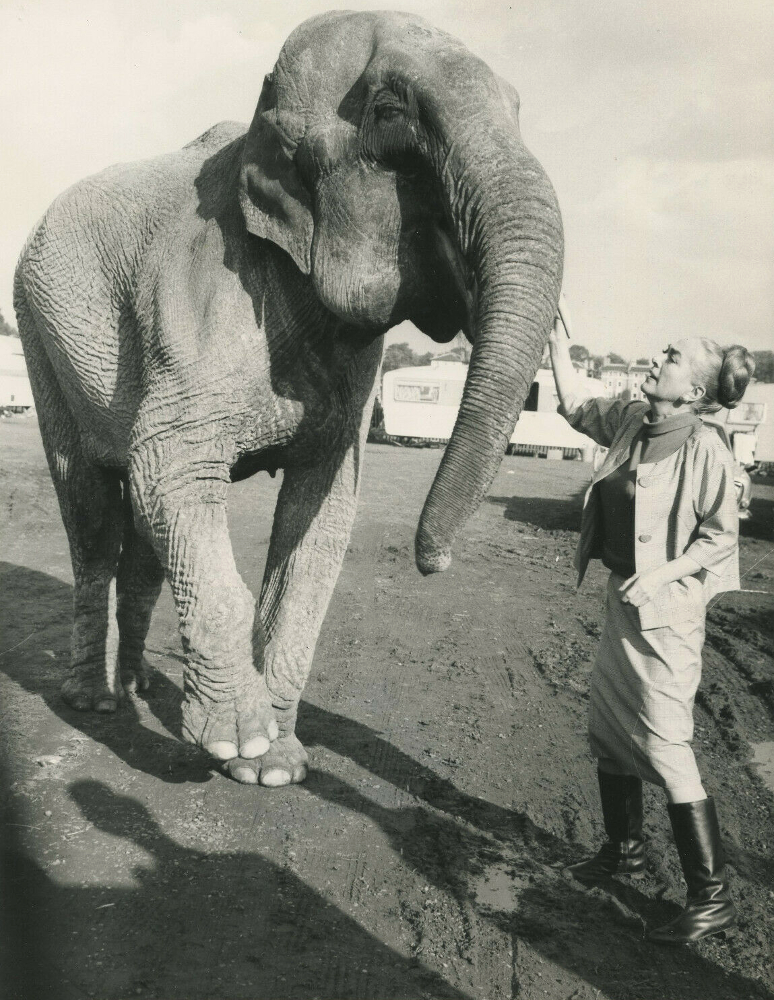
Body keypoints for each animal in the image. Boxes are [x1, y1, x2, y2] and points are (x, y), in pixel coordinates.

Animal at [13, 11, 564, 784]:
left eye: (518, 107)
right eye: (389, 114)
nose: (436, 563)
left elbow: (321, 510)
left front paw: (277, 766)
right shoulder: (203, 298)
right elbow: (168, 467)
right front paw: (238, 744)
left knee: (145, 539)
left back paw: (138, 686)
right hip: (39, 332)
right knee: (93, 512)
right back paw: (94, 701)